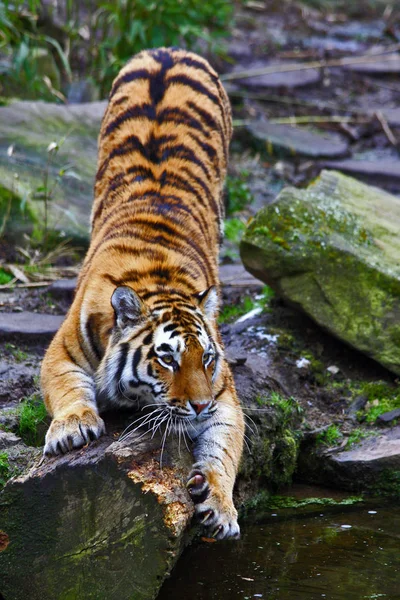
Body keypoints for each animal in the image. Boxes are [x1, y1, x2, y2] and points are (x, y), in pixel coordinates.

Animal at [42, 48, 245, 540]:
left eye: (207, 358)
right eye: (166, 358)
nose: (198, 405)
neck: (159, 282)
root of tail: (170, 51)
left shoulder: (224, 391)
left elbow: (226, 444)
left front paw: (219, 504)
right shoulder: (60, 350)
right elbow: (67, 385)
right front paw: (72, 428)